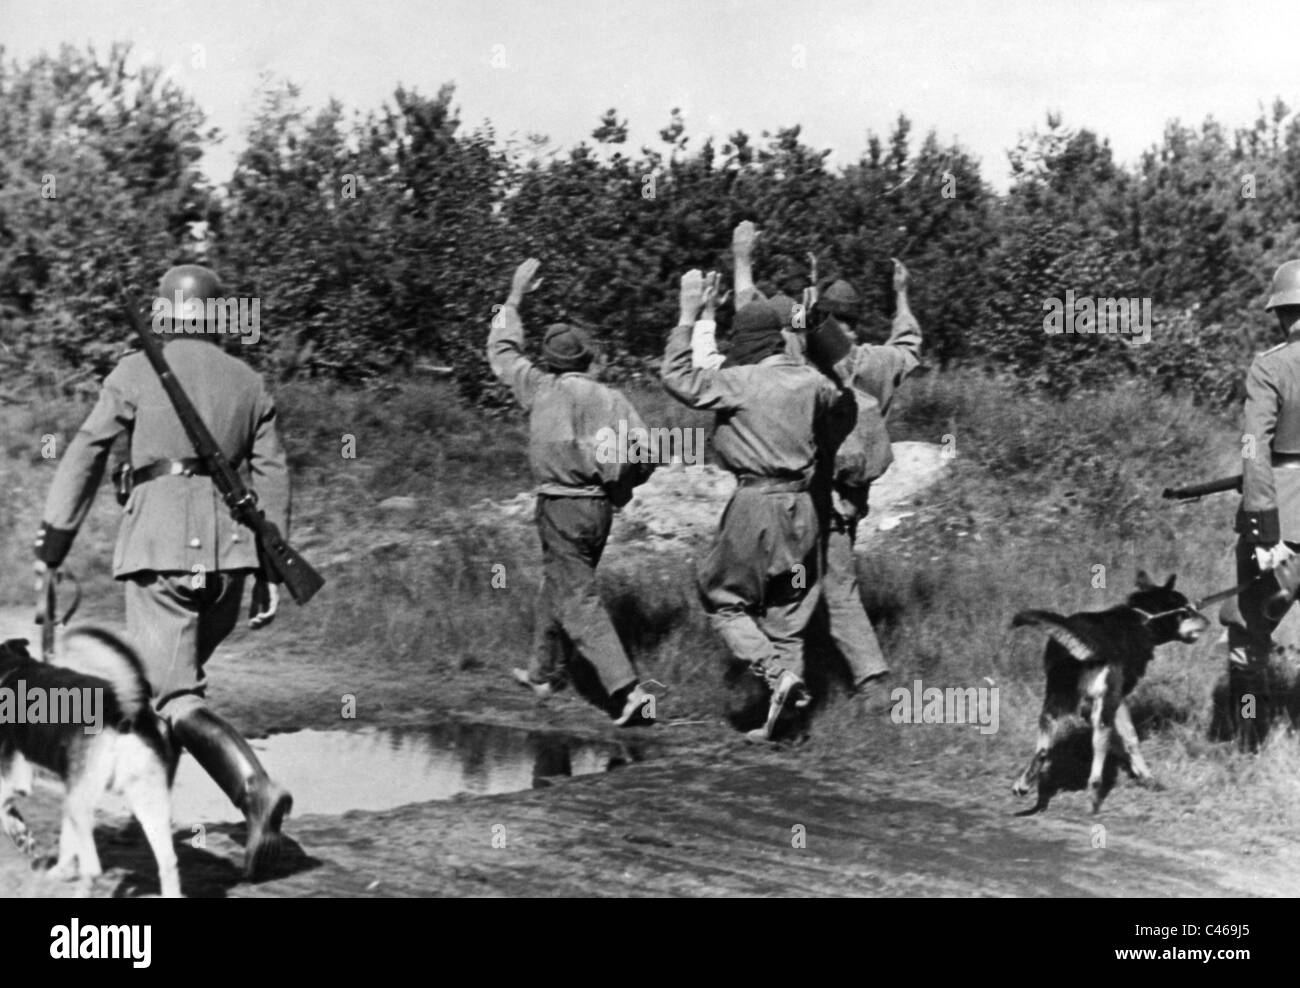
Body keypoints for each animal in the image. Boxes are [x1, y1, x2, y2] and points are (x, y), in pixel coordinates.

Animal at [0, 631, 179, 894]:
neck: (9, 668)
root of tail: (125, 712)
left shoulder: (16, 781)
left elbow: (5, 810)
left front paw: (22, 837)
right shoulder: (68, 790)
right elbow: (67, 839)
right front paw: (59, 868)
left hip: (83, 802)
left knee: (93, 870)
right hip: (146, 801)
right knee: (168, 863)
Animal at [1008, 574, 1211, 816]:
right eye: (1187, 610)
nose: (1208, 621)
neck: (1141, 618)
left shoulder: (1092, 705)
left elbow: (1123, 741)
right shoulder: (1118, 697)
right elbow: (1131, 739)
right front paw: (1145, 775)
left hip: (1056, 698)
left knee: (1042, 749)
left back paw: (1024, 784)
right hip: (1102, 704)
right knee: (1098, 748)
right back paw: (1093, 796)